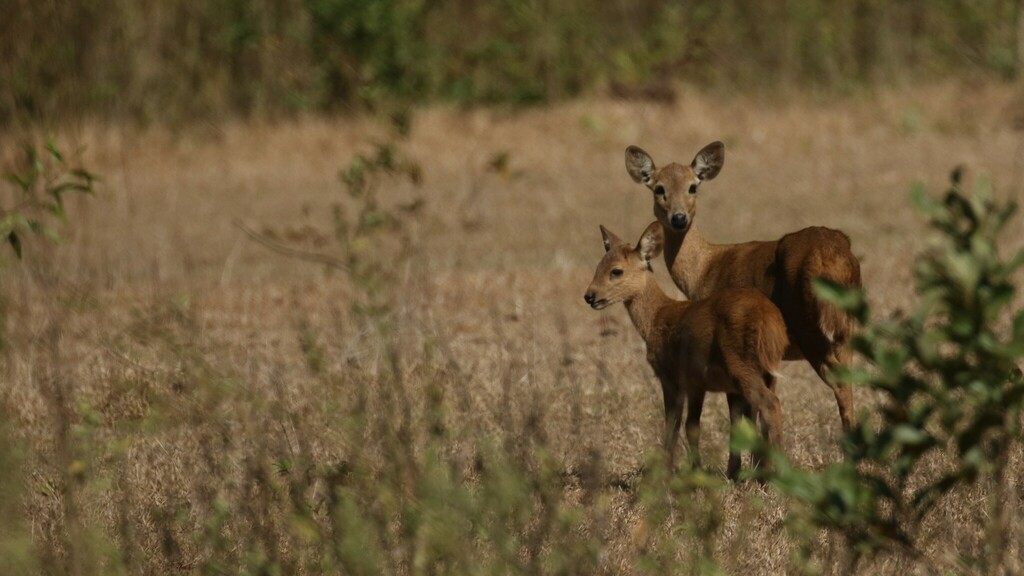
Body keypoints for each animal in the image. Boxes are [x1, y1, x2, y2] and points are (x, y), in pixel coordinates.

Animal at [584, 221, 788, 479]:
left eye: (616, 271)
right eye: (598, 266)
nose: (589, 296)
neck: (657, 317)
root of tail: (769, 321)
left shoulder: (671, 376)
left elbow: (672, 424)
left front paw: (666, 472)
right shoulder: (696, 383)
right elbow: (693, 425)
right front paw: (696, 470)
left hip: (742, 365)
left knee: (770, 404)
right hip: (769, 370)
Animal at [624, 142, 862, 432]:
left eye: (693, 186)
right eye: (659, 188)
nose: (679, 218)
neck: (705, 269)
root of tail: (832, 256)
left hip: (809, 327)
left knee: (839, 382)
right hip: (846, 330)